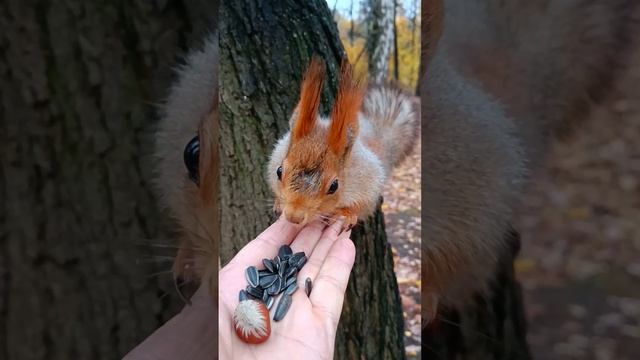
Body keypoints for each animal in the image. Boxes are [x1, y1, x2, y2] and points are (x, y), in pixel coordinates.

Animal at [264, 57, 420, 231]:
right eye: (279, 171)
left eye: (334, 186)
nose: (294, 216)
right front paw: (278, 202)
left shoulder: (368, 184)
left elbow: (362, 205)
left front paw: (347, 214)